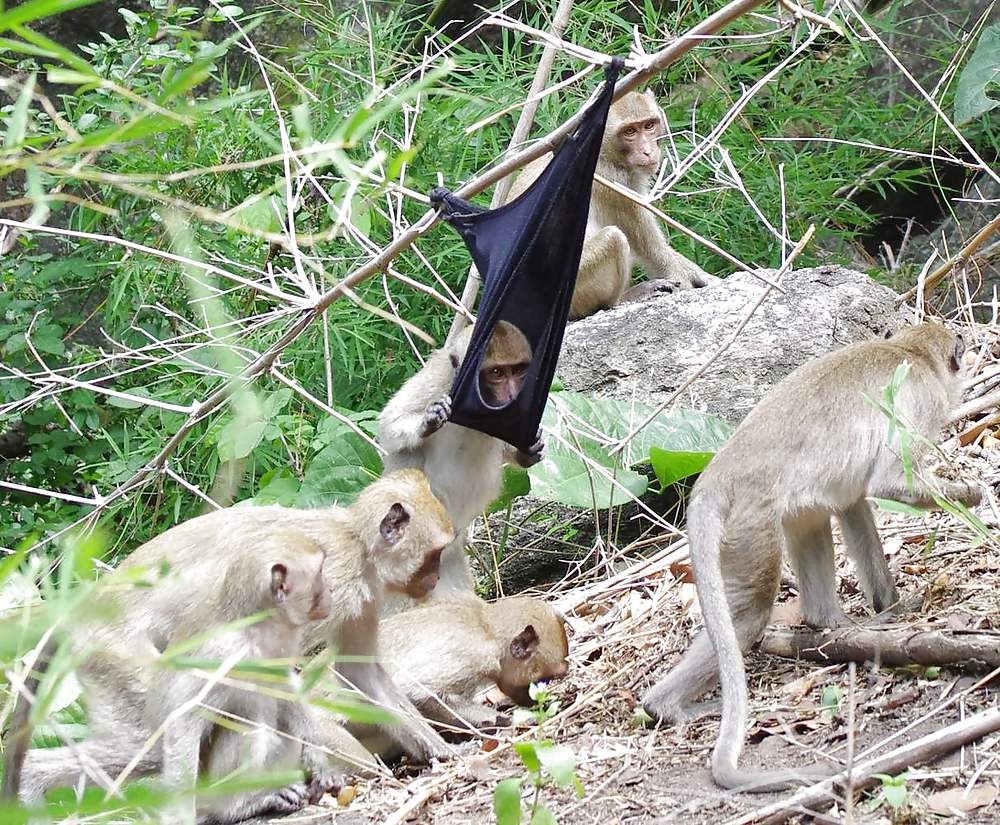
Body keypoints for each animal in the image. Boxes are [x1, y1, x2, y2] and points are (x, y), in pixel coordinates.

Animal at [8, 469, 455, 803]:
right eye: (434, 555)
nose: (435, 578)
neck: (355, 542)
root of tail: (83, 608)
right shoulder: (333, 580)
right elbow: (281, 680)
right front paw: (356, 768)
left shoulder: (357, 596)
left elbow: (358, 671)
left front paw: (443, 749)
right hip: (117, 653)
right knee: (153, 740)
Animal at [378, 321, 544, 607]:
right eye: (497, 373)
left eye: (519, 371)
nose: (512, 395)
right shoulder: (438, 381)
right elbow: (389, 425)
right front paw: (427, 422)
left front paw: (528, 452)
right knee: (408, 456)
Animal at [507, 91, 717, 320]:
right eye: (630, 131)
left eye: (649, 125)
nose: (647, 151)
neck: (603, 151)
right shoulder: (612, 184)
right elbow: (652, 250)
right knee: (614, 238)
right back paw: (624, 299)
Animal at [641, 323, 982, 792]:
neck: (910, 350)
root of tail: (718, 474)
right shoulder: (922, 398)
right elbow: (889, 483)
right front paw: (971, 494)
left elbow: (854, 502)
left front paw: (891, 606)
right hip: (753, 518)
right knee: (748, 616)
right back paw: (670, 705)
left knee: (814, 521)